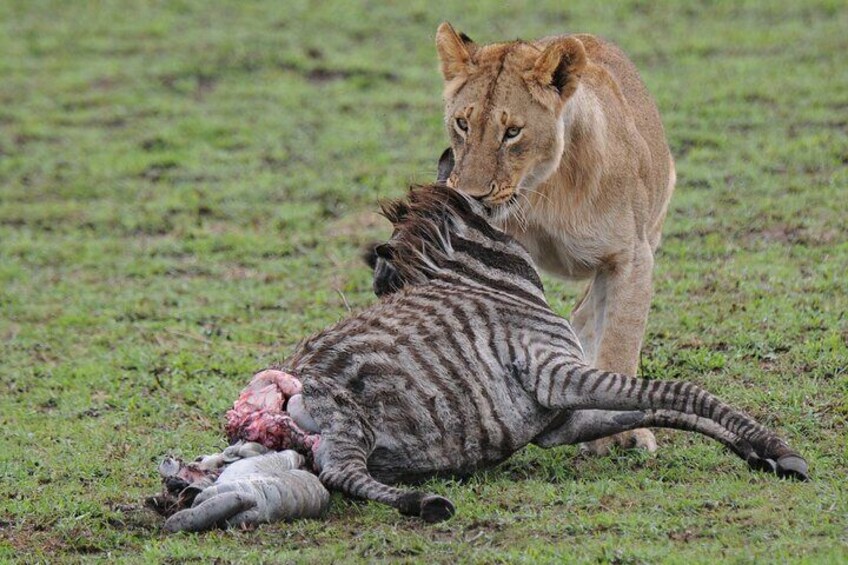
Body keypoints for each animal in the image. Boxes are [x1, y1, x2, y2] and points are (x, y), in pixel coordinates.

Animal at [242, 184, 807, 523]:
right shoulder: (554, 371)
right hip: (348, 416)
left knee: (333, 471)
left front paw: (761, 454)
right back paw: (424, 501)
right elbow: (677, 390)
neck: (505, 287)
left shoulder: (559, 419)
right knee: (341, 473)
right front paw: (774, 445)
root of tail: (279, 384)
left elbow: (657, 408)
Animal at [434, 23, 676, 454]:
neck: (547, 188)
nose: (471, 195)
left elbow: (620, 344)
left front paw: (617, 433)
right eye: (462, 124)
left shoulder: (632, 258)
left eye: (512, 132)